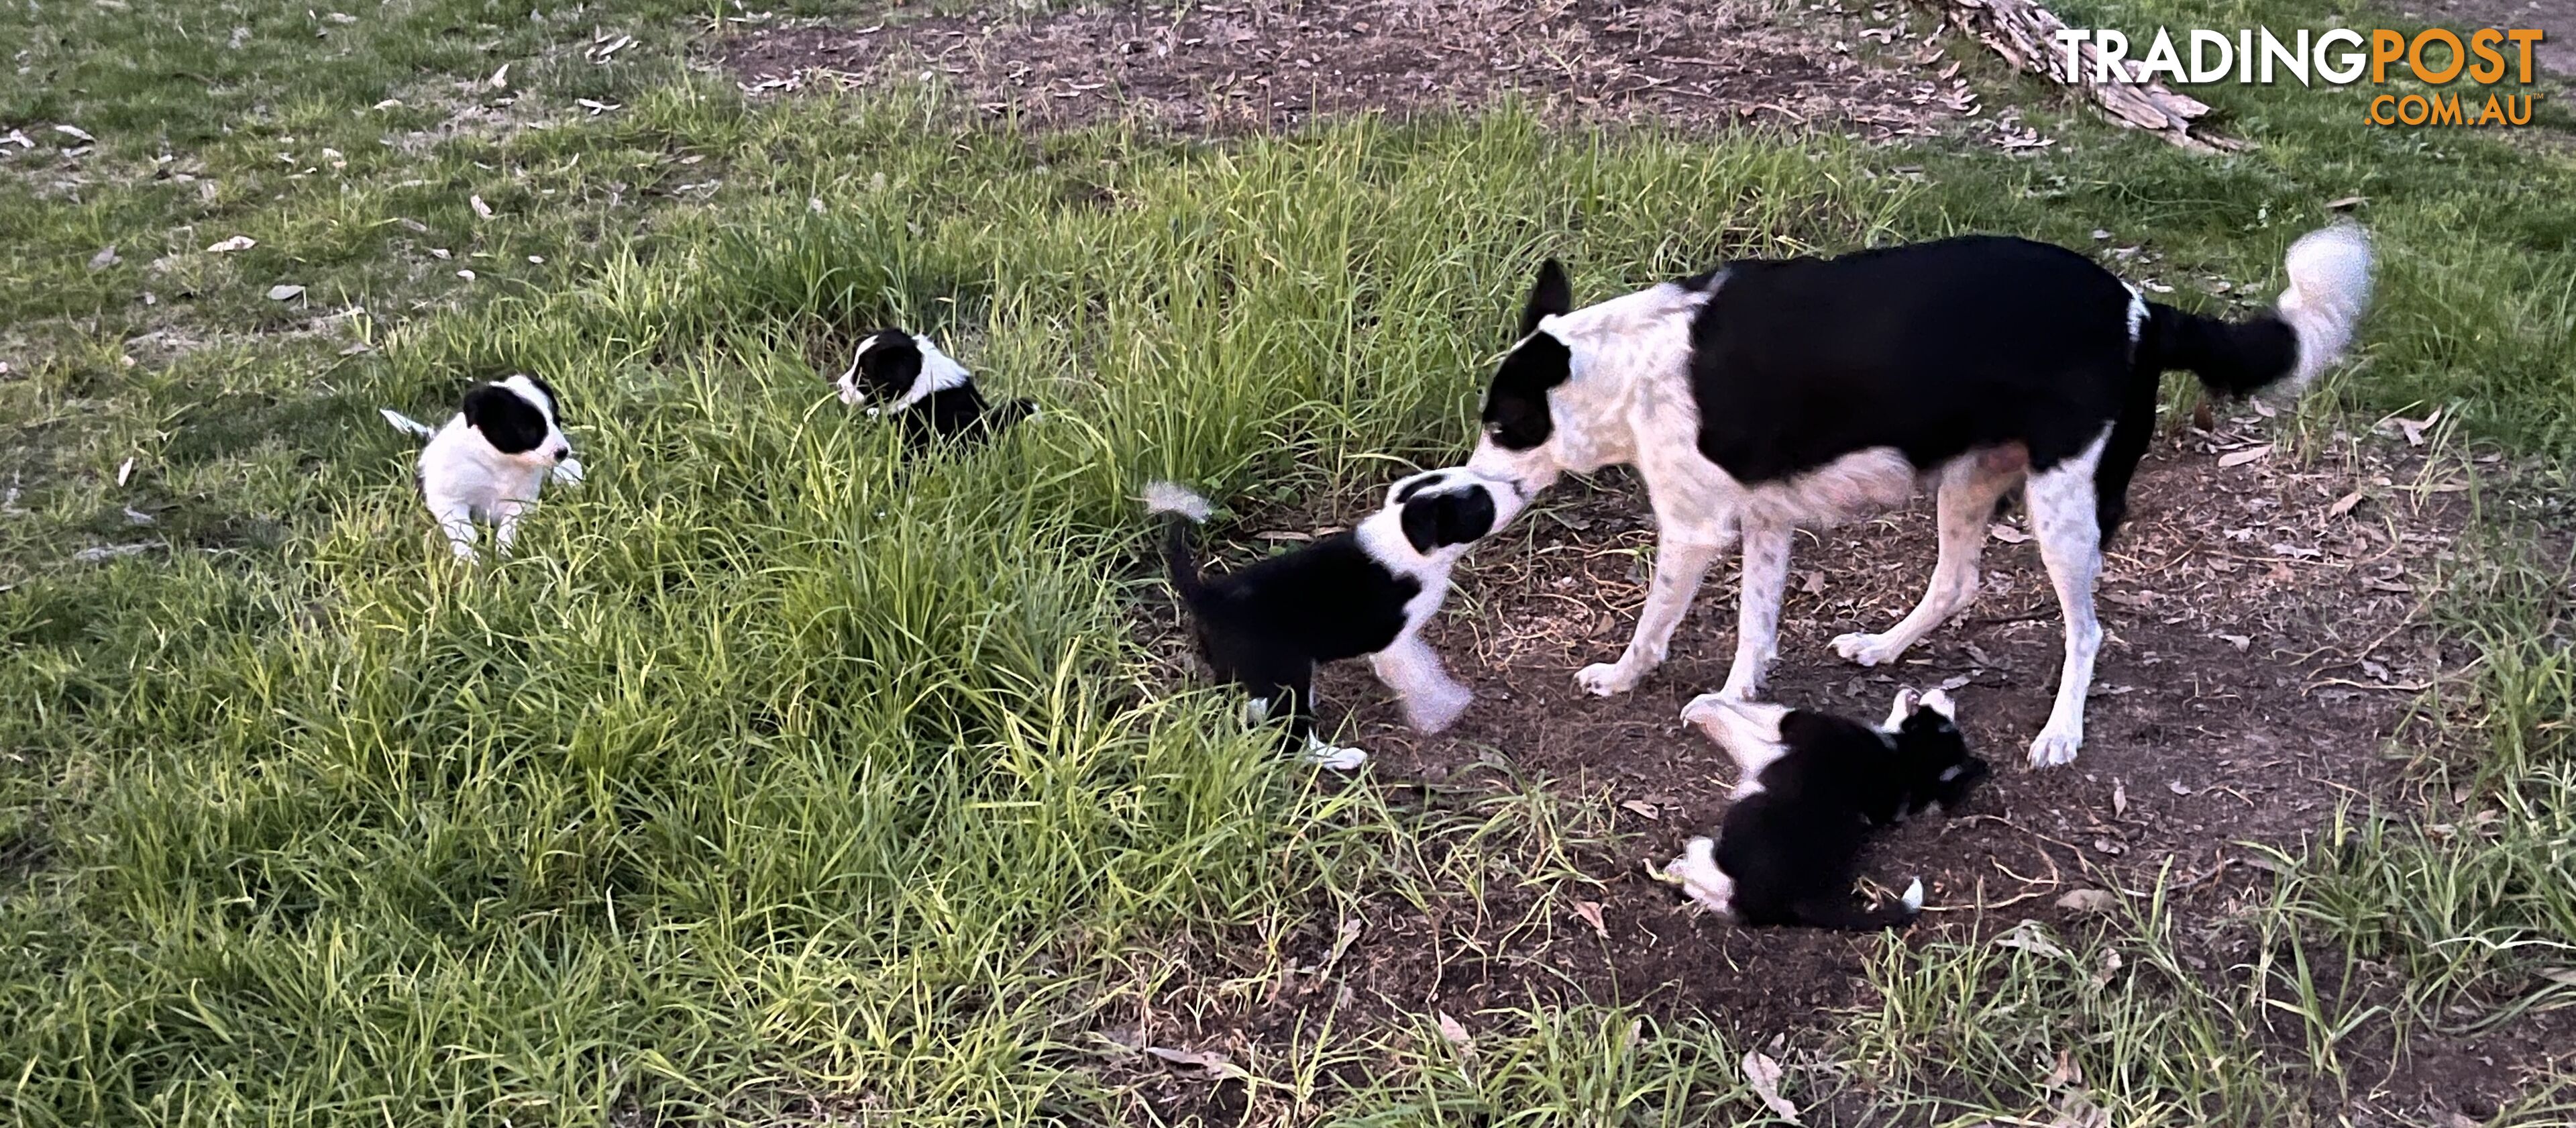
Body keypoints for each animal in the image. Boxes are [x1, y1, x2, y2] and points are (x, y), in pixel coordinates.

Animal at [381, 373, 584, 561]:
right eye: (528, 429)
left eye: (557, 420)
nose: (563, 451)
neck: (499, 464)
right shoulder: (450, 502)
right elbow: (463, 532)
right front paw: (471, 560)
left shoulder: (521, 503)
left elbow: (509, 528)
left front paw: (503, 553)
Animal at [1148, 466, 1525, 767]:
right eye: (1481, 505)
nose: (1519, 486)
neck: (1405, 537)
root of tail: (1208, 595)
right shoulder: (1392, 643)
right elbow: (1419, 669)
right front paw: (1442, 707)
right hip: (1289, 677)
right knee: (1293, 737)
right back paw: (1339, 757)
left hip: (1236, 672)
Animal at [1669, 684, 1988, 932]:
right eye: (1942, 716)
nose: (1947, 693)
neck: (1903, 758)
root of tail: (1802, 899)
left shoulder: (1786, 726)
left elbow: (1743, 717)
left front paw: (1701, 708)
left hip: (1738, 837)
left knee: (1723, 886)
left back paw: (1684, 863)